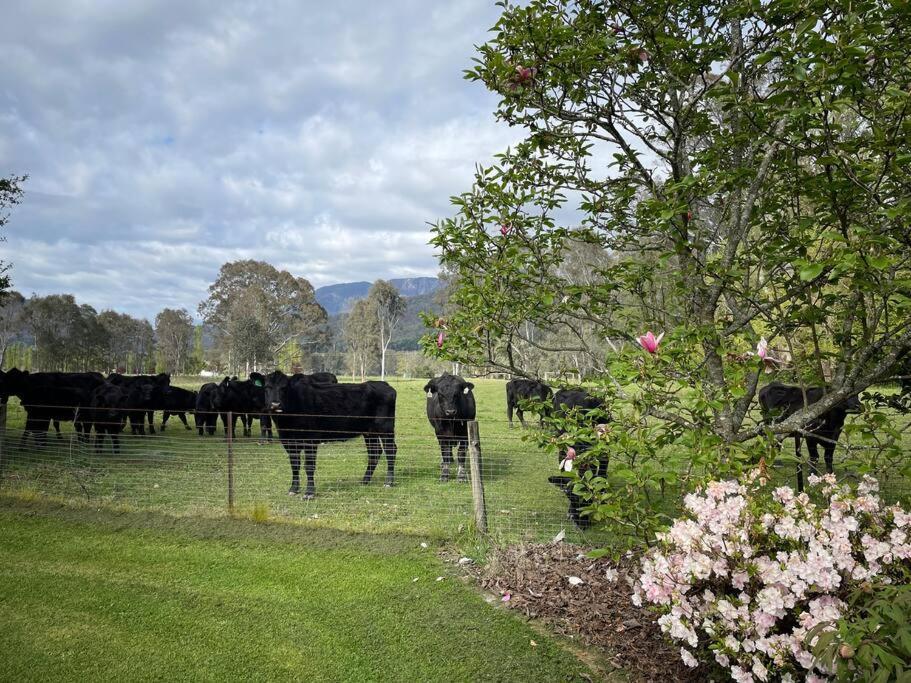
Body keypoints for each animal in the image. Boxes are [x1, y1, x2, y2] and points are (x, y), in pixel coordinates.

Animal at [260, 372, 396, 500]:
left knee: (390, 450)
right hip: (370, 432)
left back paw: (388, 482)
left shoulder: (310, 440)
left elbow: (309, 466)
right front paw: (293, 489)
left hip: (386, 428)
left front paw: (309, 492)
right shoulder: (288, 441)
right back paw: (365, 480)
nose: (275, 404)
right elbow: (294, 465)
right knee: (374, 453)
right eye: (267, 387)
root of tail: (383, 384)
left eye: (284, 388)